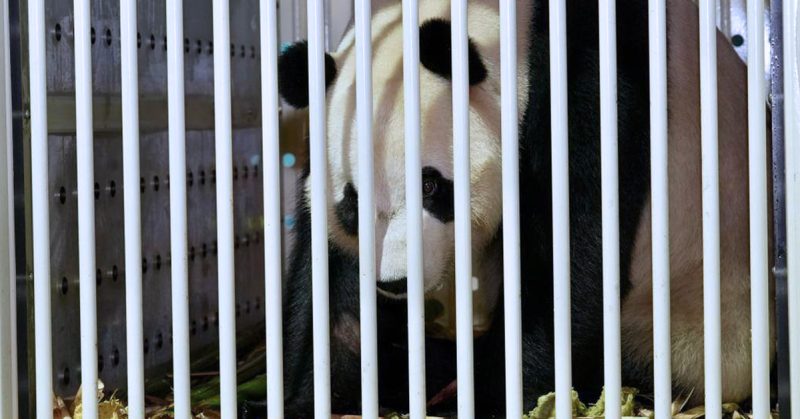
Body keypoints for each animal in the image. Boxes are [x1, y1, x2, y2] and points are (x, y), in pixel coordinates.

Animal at [266, 0, 773, 416]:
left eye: (431, 186)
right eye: (352, 203)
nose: (395, 282)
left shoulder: (596, 68)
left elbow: (572, 255)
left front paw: (497, 397)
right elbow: (331, 279)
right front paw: (319, 391)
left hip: (697, 325)